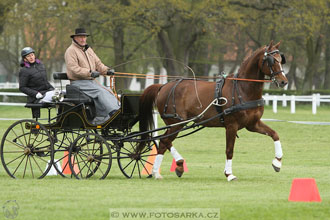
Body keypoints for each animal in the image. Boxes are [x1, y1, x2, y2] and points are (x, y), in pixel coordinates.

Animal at [138, 40, 288, 180]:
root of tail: (163, 86)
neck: (242, 89)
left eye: (281, 60)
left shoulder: (252, 124)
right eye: (272, 61)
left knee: (164, 141)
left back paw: (176, 166)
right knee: (164, 141)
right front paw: (229, 174)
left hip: (176, 124)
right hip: (176, 122)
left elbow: (274, 134)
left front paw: (277, 162)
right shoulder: (231, 125)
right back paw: (157, 171)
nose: (283, 82)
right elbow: (229, 150)